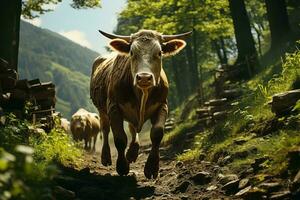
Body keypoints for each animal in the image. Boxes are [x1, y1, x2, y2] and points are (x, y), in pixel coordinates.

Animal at [90, 29, 191, 178]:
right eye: (132, 52)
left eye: (159, 52)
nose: (144, 77)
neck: (142, 93)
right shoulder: (113, 107)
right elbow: (120, 138)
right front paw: (122, 166)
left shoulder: (162, 105)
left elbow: (157, 133)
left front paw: (152, 167)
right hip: (101, 110)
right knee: (105, 128)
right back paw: (106, 157)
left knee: (132, 128)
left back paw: (132, 153)